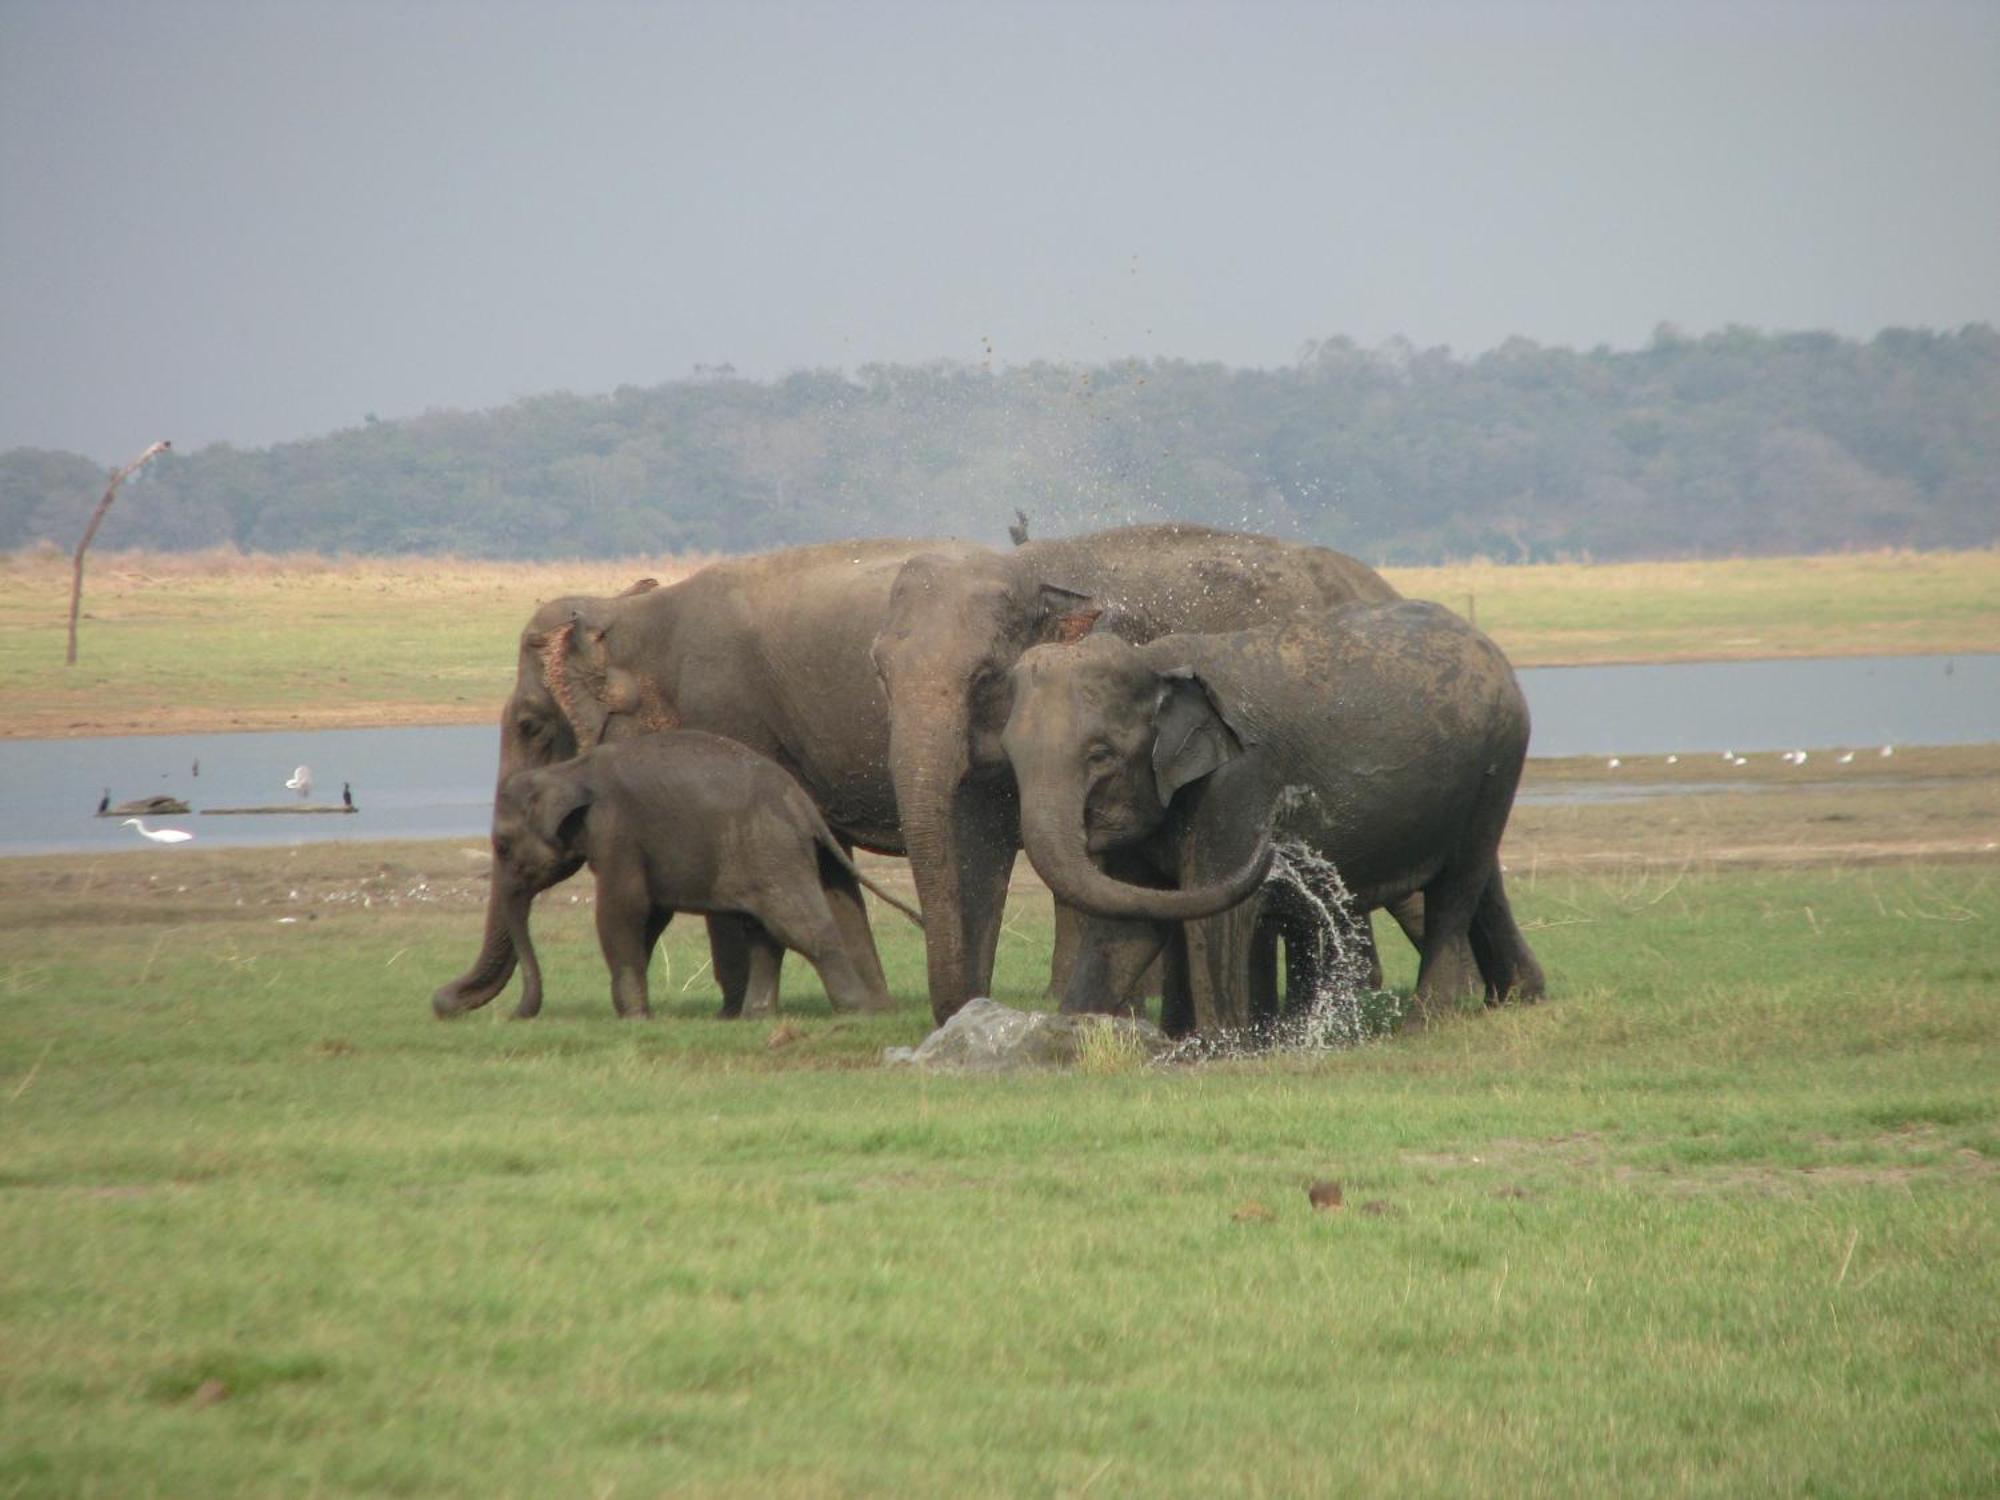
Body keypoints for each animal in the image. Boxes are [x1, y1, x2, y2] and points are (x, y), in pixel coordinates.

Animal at [468, 732, 920, 1024]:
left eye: (502, 846)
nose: (514, 1015)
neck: (568, 770)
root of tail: (803, 804)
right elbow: (650, 915)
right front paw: (635, 1010)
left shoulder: (617, 832)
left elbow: (622, 909)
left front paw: (634, 1018)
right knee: (763, 932)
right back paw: (755, 1018)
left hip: (773, 849)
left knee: (798, 927)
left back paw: (856, 1011)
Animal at [868, 524, 1400, 1032]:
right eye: (880, 672)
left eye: (983, 675)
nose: (965, 1007)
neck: (1026, 568)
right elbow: (978, 848)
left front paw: (1109, 1017)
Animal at [1000, 600, 1544, 1032]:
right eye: (1011, 756)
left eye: (1101, 755)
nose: (1274, 839)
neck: (1155, 659)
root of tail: (1493, 650)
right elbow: (1128, 922)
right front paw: (1069, 1035)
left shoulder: (1236, 782)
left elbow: (1217, 914)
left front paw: (1215, 1049)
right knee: (1482, 879)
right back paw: (1518, 998)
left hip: (1499, 757)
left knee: (1455, 889)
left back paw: (1423, 1023)